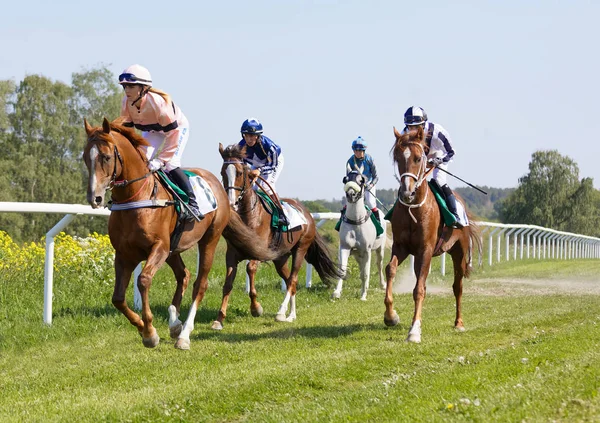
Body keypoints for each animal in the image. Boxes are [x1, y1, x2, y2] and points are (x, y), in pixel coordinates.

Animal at [81, 118, 229, 352]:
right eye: (86, 157)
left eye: (105, 157)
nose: (94, 198)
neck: (137, 197)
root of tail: (213, 180)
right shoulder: (124, 254)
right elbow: (117, 298)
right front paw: (143, 329)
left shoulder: (158, 247)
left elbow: (143, 280)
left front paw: (150, 332)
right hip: (173, 249)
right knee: (183, 275)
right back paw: (175, 323)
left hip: (210, 239)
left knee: (200, 284)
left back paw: (184, 334)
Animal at [214, 143, 342, 328]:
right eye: (223, 172)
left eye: (239, 173)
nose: (231, 202)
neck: (249, 216)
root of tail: (307, 213)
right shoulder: (231, 254)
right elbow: (228, 284)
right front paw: (219, 318)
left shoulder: (260, 251)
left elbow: (250, 268)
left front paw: (256, 308)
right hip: (280, 258)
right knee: (290, 281)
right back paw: (291, 315)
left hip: (300, 249)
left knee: (292, 279)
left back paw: (281, 313)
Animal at [330, 171, 386, 300]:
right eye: (346, 179)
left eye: (361, 180)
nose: (351, 194)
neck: (356, 221)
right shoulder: (345, 247)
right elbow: (343, 270)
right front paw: (337, 292)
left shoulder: (366, 250)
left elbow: (366, 273)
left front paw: (363, 295)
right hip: (357, 254)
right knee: (362, 267)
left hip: (380, 248)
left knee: (379, 264)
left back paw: (382, 285)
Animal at [386, 126, 480, 344]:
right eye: (397, 158)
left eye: (418, 158)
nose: (406, 193)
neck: (414, 208)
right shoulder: (401, 247)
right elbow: (390, 269)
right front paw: (391, 316)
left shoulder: (426, 249)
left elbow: (419, 289)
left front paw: (414, 331)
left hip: (459, 252)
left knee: (457, 286)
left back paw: (459, 323)